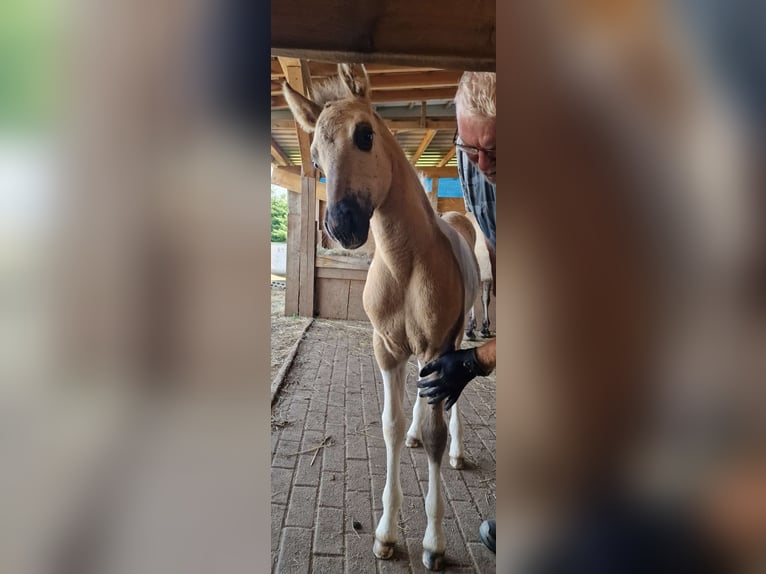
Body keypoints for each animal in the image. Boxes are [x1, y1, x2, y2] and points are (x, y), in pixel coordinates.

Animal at [286, 66, 480, 572]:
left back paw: (458, 452)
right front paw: (386, 535)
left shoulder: (436, 349)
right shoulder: (387, 349)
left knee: (454, 400)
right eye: (315, 158)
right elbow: (390, 426)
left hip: (456, 338)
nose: (342, 224)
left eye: (365, 134)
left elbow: (436, 431)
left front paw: (434, 543)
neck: (405, 263)